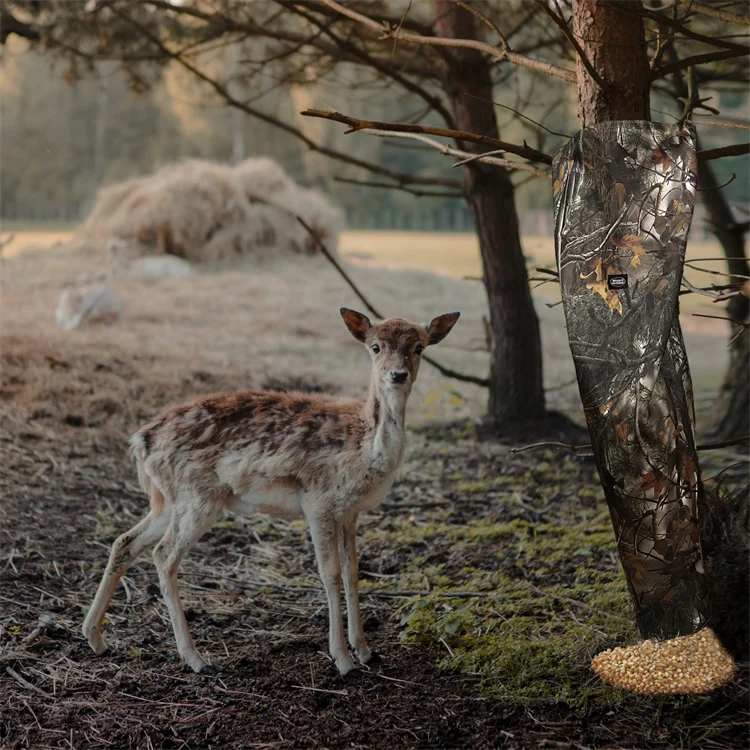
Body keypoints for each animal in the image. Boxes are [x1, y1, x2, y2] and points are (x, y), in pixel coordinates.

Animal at [82, 308, 460, 677]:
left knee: (125, 541)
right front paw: (343, 661)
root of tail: (138, 442)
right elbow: (330, 573)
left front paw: (366, 651)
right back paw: (198, 660)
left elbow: (353, 570)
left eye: (419, 347)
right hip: (195, 496)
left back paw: (95, 637)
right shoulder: (318, 501)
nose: (397, 375)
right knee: (163, 554)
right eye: (376, 346)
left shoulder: (350, 511)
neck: (365, 448)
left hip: (168, 500)